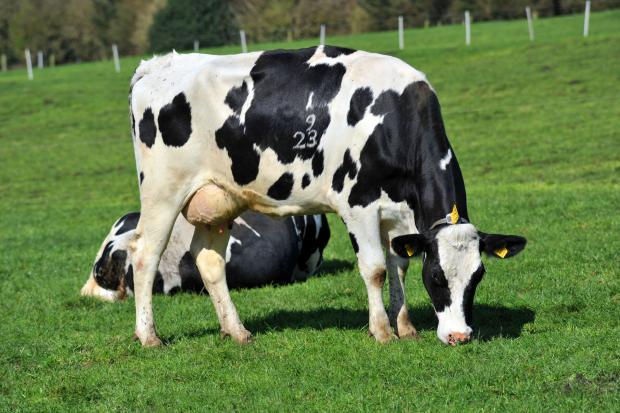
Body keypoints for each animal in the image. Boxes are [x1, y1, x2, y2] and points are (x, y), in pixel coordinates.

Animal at [128, 45, 524, 346]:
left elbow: (399, 265)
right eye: (438, 277)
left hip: (218, 198)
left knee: (209, 261)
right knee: (145, 253)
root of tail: (156, 65)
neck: (391, 119)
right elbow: (375, 268)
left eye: (477, 277)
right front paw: (382, 332)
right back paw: (149, 336)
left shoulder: (400, 214)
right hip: (163, 191)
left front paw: (406, 327)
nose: (460, 336)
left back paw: (237, 331)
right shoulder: (357, 205)